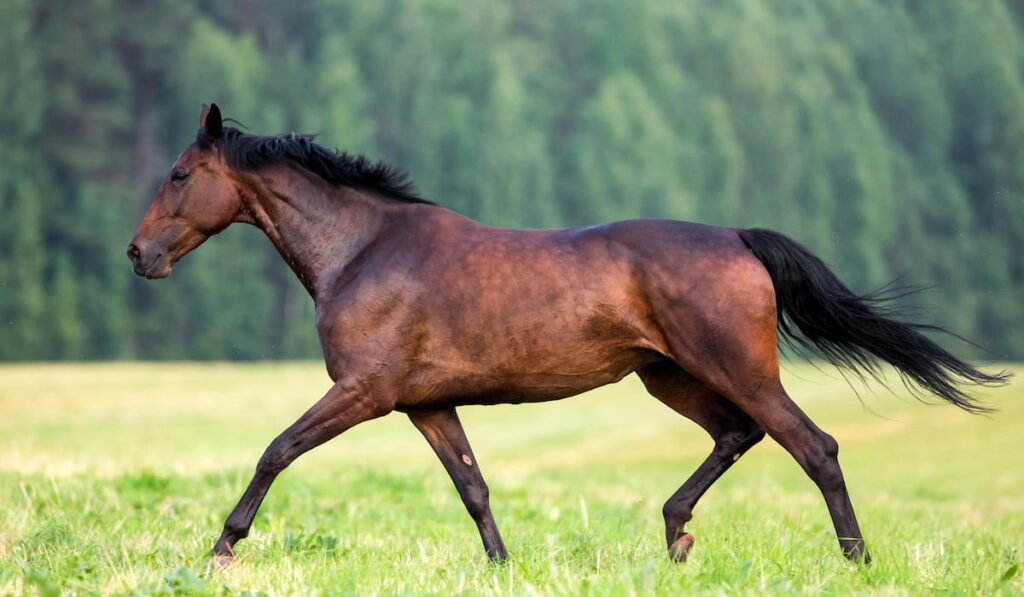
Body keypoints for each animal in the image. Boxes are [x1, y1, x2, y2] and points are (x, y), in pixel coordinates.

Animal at [123, 104, 1003, 569]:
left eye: (178, 173)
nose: (137, 255)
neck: (363, 249)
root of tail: (737, 237)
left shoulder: (361, 391)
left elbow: (276, 449)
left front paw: (223, 548)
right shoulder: (425, 404)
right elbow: (473, 487)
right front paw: (503, 566)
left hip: (738, 368)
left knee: (813, 445)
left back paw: (856, 560)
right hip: (670, 376)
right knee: (737, 435)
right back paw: (676, 532)